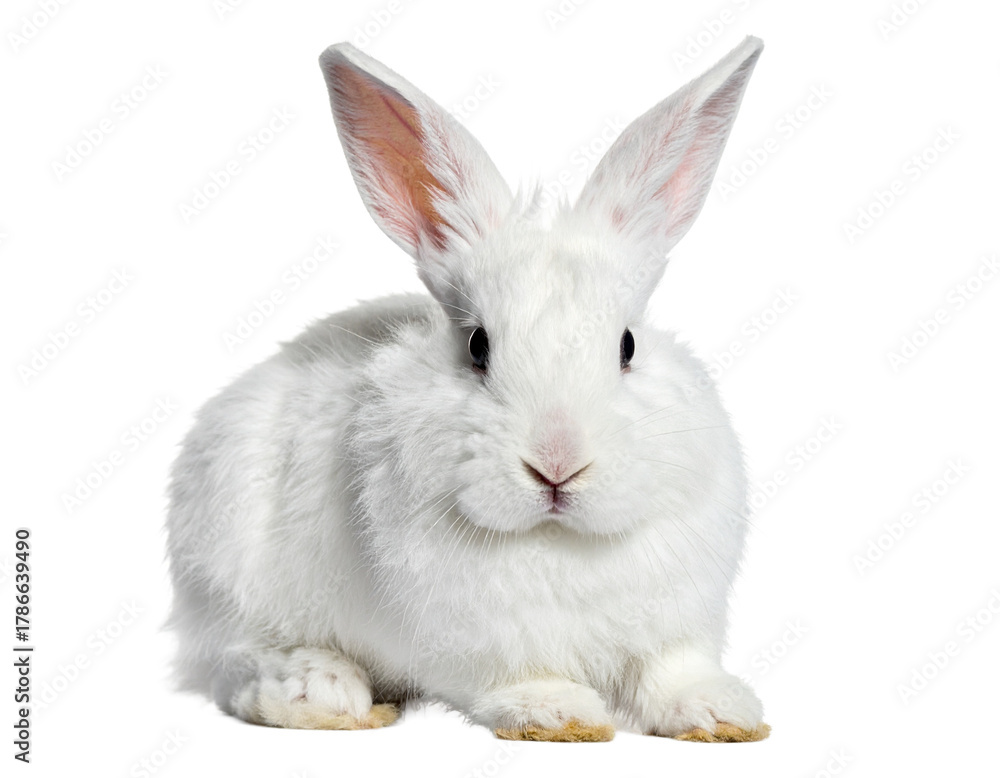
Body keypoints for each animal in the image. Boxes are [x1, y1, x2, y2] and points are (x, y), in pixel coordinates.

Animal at [165, 36, 767, 743]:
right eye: (478, 345)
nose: (557, 465)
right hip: (225, 559)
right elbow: (513, 679)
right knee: (233, 661)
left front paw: (722, 713)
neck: (556, 540)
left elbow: (674, 670)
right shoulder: (472, 647)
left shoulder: (676, 623)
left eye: (626, 345)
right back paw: (321, 691)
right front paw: (558, 715)